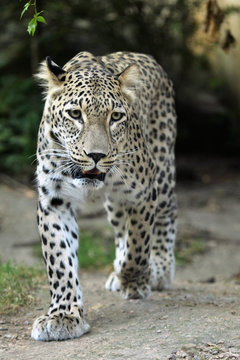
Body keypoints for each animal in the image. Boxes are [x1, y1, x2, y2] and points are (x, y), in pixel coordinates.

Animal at [31, 50, 177, 340]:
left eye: (116, 117)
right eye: (75, 114)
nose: (96, 155)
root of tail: (148, 58)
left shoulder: (143, 192)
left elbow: (138, 244)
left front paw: (133, 280)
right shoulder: (53, 201)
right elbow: (59, 259)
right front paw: (63, 315)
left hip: (163, 171)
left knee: (167, 214)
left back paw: (159, 269)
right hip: (117, 203)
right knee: (121, 229)